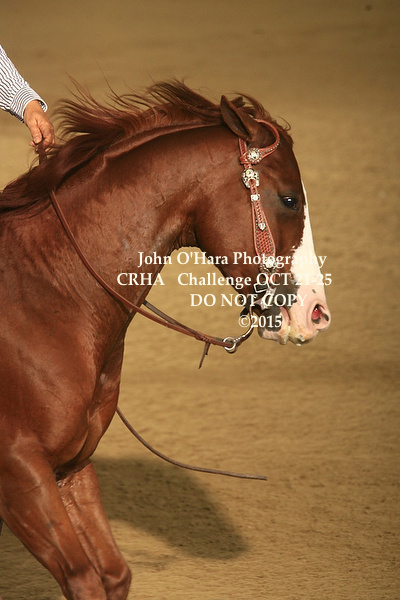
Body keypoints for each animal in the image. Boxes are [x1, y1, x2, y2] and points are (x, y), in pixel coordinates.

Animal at [0, 81, 330, 599]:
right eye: (290, 199)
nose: (316, 313)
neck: (46, 293)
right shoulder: (19, 474)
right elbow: (84, 578)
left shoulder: (69, 466)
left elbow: (112, 574)